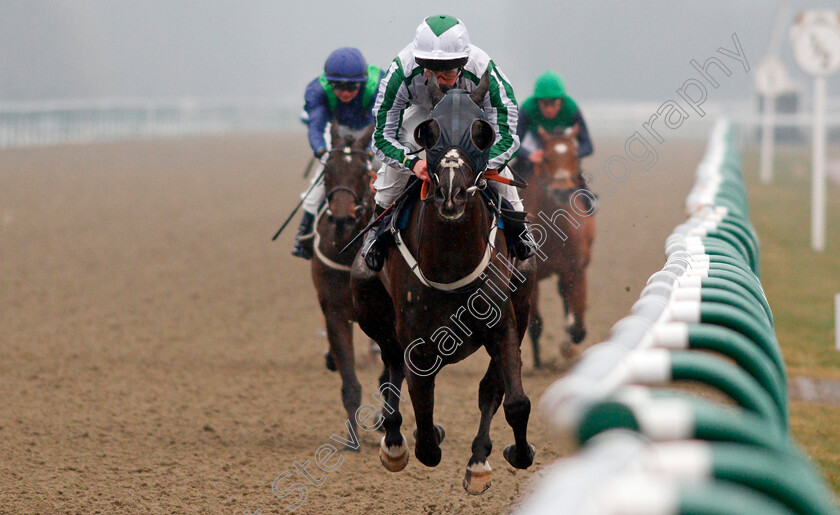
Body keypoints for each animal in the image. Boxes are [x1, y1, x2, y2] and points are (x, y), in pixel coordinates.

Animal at [350, 73, 540, 496]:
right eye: (428, 131)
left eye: (482, 132)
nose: (451, 191)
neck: (452, 265)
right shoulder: (417, 342)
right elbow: (422, 416)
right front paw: (420, 439)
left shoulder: (504, 324)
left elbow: (514, 401)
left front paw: (514, 454)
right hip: (374, 314)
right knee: (390, 372)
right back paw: (394, 442)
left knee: (489, 389)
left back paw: (479, 460)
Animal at [524, 123, 596, 368]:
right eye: (545, 157)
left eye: (574, 156)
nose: (561, 190)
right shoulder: (532, 276)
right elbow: (535, 323)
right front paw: (537, 364)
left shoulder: (576, 269)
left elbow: (579, 324)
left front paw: (568, 345)